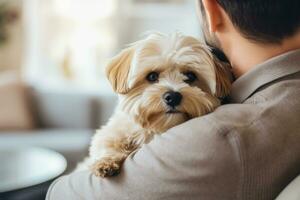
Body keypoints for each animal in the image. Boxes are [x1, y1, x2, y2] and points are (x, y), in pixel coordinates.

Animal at [76, 32, 231, 178]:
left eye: (190, 76)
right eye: (152, 76)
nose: (173, 97)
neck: (154, 129)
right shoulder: (113, 132)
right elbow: (105, 142)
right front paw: (105, 162)